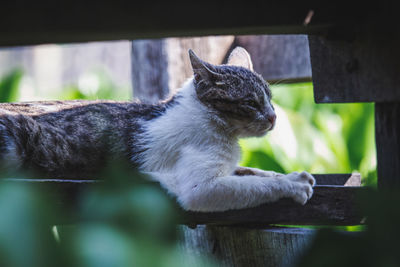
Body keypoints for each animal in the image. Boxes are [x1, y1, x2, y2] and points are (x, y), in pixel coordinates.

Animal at [0, 47, 316, 211]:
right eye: (251, 102)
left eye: (271, 99)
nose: (274, 117)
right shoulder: (200, 188)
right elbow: (255, 185)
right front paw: (292, 185)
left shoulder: (228, 166)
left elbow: (252, 171)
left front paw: (291, 175)